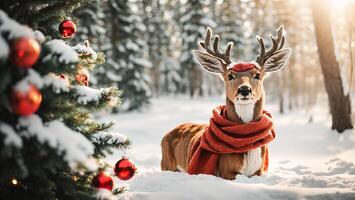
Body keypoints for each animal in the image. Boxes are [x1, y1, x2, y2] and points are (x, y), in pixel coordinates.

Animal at [161, 25, 292, 180]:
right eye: (230, 76)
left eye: (257, 75)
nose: (244, 89)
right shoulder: (226, 171)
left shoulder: (259, 171)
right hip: (167, 164)